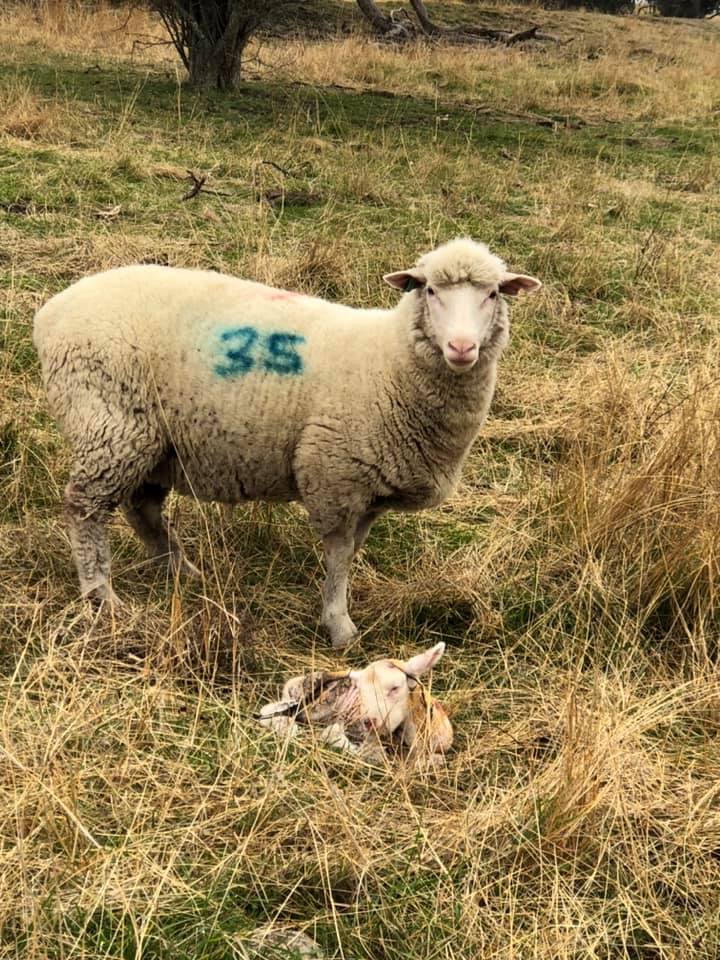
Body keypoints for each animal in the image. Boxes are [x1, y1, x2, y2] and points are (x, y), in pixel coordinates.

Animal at [32, 238, 541, 647]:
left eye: (492, 294)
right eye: (430, 291)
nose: (461, 348)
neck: (389, 359)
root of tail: (50, 313)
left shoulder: (368, 488)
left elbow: (352, 551)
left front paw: (337, 610)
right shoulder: (336, 474)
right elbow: (339, 554)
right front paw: (338, 625)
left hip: (154, 441)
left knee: (142, 507)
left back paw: (180, 570)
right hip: (109, 423)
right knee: (84, 508)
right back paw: (101, 596)